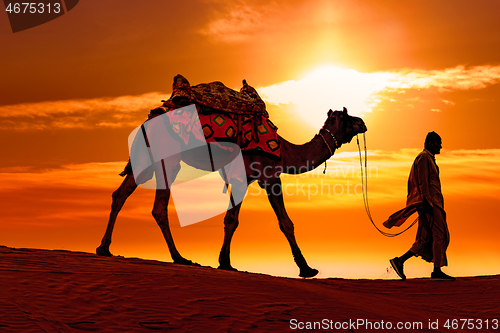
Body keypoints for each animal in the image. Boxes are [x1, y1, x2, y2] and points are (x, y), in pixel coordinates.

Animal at [95, 107, 366, 278]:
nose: (363, 122)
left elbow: (231, 219)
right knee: (158, 207)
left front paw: (224, 261)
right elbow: (282, 222)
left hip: (147, 159)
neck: (286, 151)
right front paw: (307, 269)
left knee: (121, 194)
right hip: (168, 158)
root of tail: (145, 123)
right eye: (348, 116)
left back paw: (104, 248)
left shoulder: (245, 178)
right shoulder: (267, 176)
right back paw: (180, 258)